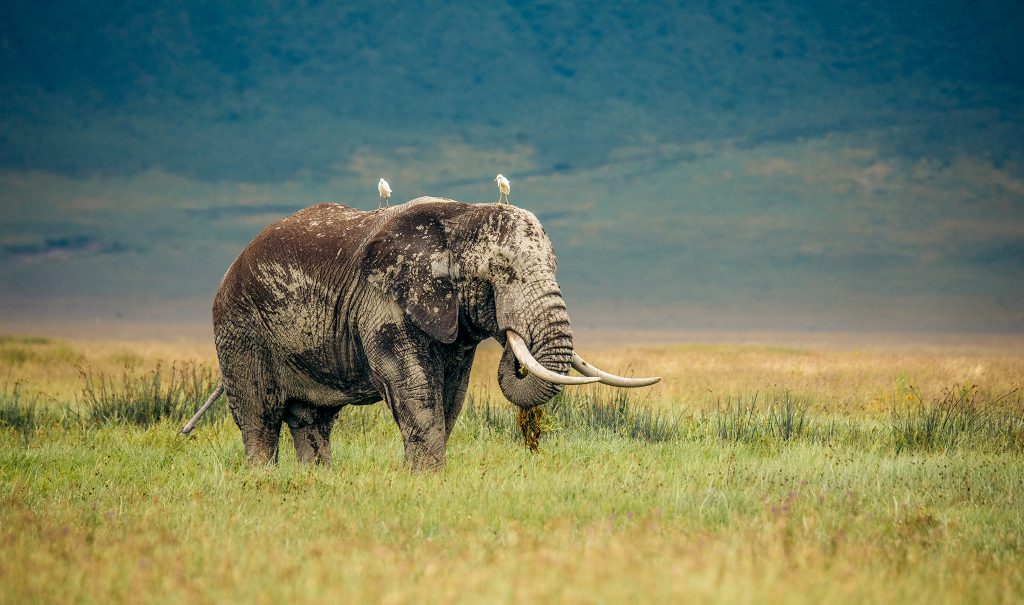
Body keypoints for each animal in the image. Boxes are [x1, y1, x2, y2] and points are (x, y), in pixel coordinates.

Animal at [183, 197, 659, 469]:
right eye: (503, 271)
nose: (512, 339)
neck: (461, 217)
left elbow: (451, 393)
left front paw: (431, 477)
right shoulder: (382, 303)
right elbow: (413, 385)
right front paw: (424, 476)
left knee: (312, 420)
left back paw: (316, 481)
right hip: (239, 328)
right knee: (259, 416)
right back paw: (263, 479)